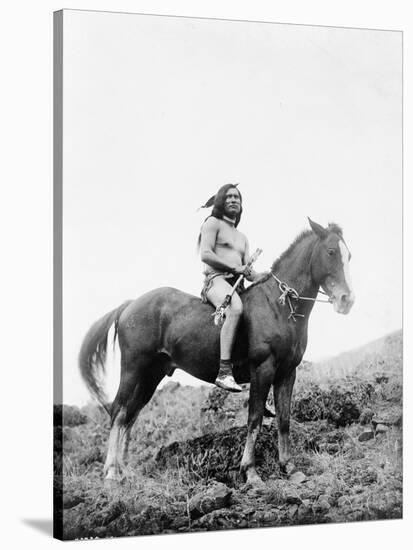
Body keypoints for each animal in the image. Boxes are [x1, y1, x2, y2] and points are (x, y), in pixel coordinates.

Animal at [79, 220, 354, 488]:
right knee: (119, 411)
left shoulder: (287, 373)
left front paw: (290, 468)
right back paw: (111, 472)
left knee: (131, 415)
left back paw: (125, 470)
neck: (278, 305)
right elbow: (254, 419)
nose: (347, 300)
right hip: (133, 369)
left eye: (348, 255)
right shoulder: (262, 370)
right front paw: (250, 472)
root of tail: (130, 305)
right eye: (331, 251)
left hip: (151, 376)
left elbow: (284, 419)